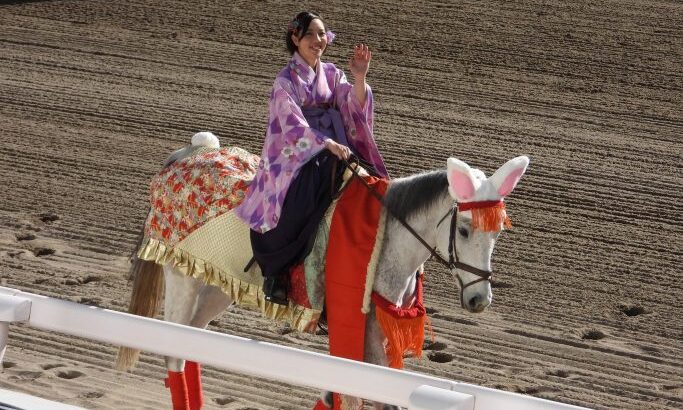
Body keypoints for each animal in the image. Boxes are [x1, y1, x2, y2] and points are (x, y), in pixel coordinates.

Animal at [115, 133, 532, 408]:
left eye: (497, 231)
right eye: (464, 229)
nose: (479, 299)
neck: (388, 235)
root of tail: (190, 152)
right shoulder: (364, 327)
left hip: (217, 286)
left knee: (192, 348)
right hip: (180, 277)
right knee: (174, 354)